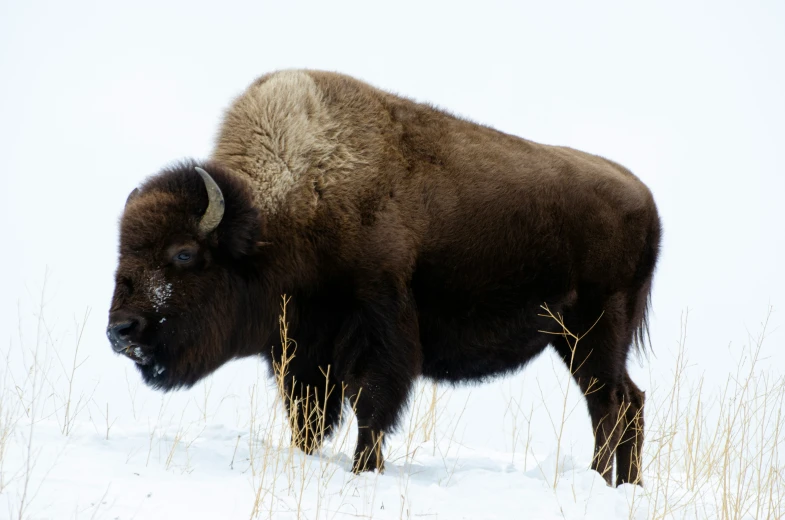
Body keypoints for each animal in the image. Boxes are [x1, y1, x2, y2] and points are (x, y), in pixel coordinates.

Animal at [107, 68, 660, 484]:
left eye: (183, 254)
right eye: (123, 250)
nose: (120, 330)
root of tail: (645, 198)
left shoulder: (378, 330)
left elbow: (371, 406)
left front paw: (364, 471)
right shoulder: (302, 350)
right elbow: (308, 418)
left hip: (595, 330)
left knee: (609, 403)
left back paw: (600, 481)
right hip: (574, 339)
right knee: (626, 401)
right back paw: (623, 485)